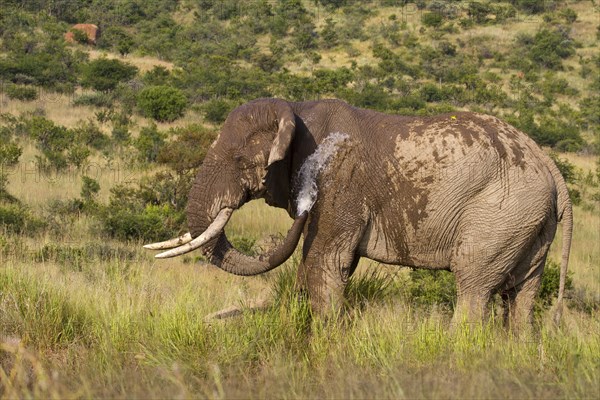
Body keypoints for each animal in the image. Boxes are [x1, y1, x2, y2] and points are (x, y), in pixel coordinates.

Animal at [145, 97, 572, 328]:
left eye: (237, 159)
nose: (214, 318)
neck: (297, 110)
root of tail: (549, 166)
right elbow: (322, 264)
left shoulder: (338, 179)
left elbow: (325, 259)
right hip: (529, 222)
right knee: (521, 294)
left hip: (501, 213)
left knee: (474, 284)